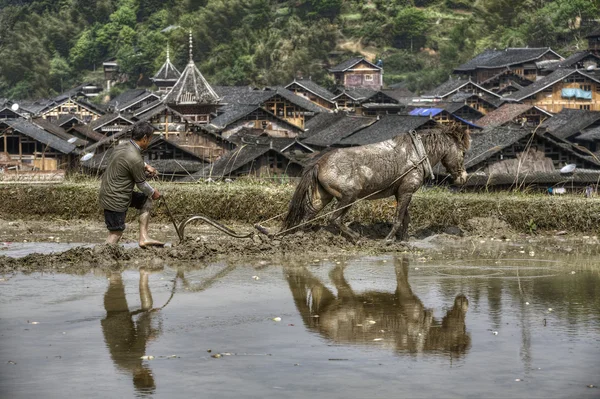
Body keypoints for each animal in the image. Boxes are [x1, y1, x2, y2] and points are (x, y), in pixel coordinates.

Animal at [284, 125, 472, 242]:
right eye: (463, 152)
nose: (464, 177)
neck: (416, 154)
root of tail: (319, 162)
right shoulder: (406, 191)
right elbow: (398, 219)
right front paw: (387, 240)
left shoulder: (401, 192)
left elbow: (405, 218)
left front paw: (403, 240)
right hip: (349, 196)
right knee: (334, 219)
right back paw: (357, 238)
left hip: (324, 196)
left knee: (308, 214)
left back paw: (299, 236)